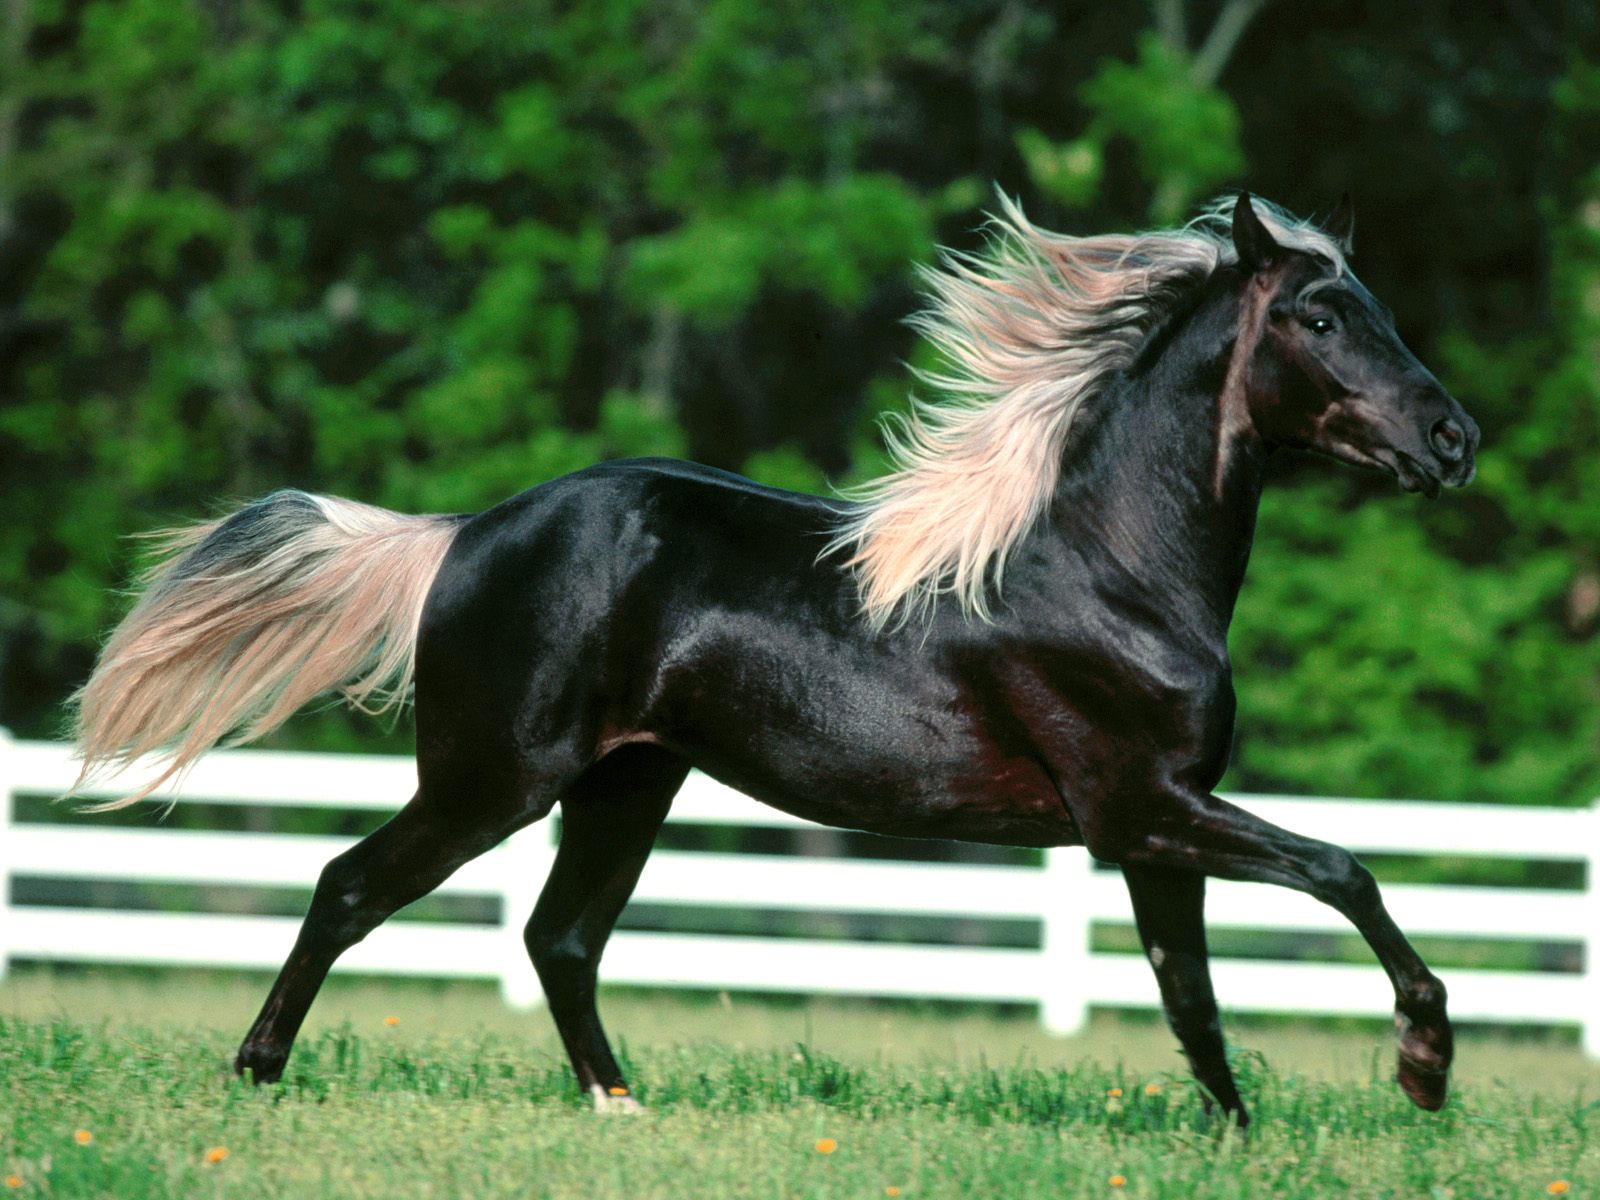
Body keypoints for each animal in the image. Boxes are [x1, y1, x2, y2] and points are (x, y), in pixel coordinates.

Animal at [71, 193, 1479, 1127]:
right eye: (1319, 314)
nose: (1453, 440)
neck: (1111, 568)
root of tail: (465, 533)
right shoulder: (1140, 806)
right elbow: (1343, 872)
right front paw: (1423, 1068)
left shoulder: (1153, 823)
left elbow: (1190, 994)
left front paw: (1235, 1137)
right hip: (494, 780)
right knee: (352, 887)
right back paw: (257, 1076)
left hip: (626, 783)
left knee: (558, 938)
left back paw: (621, 1107)